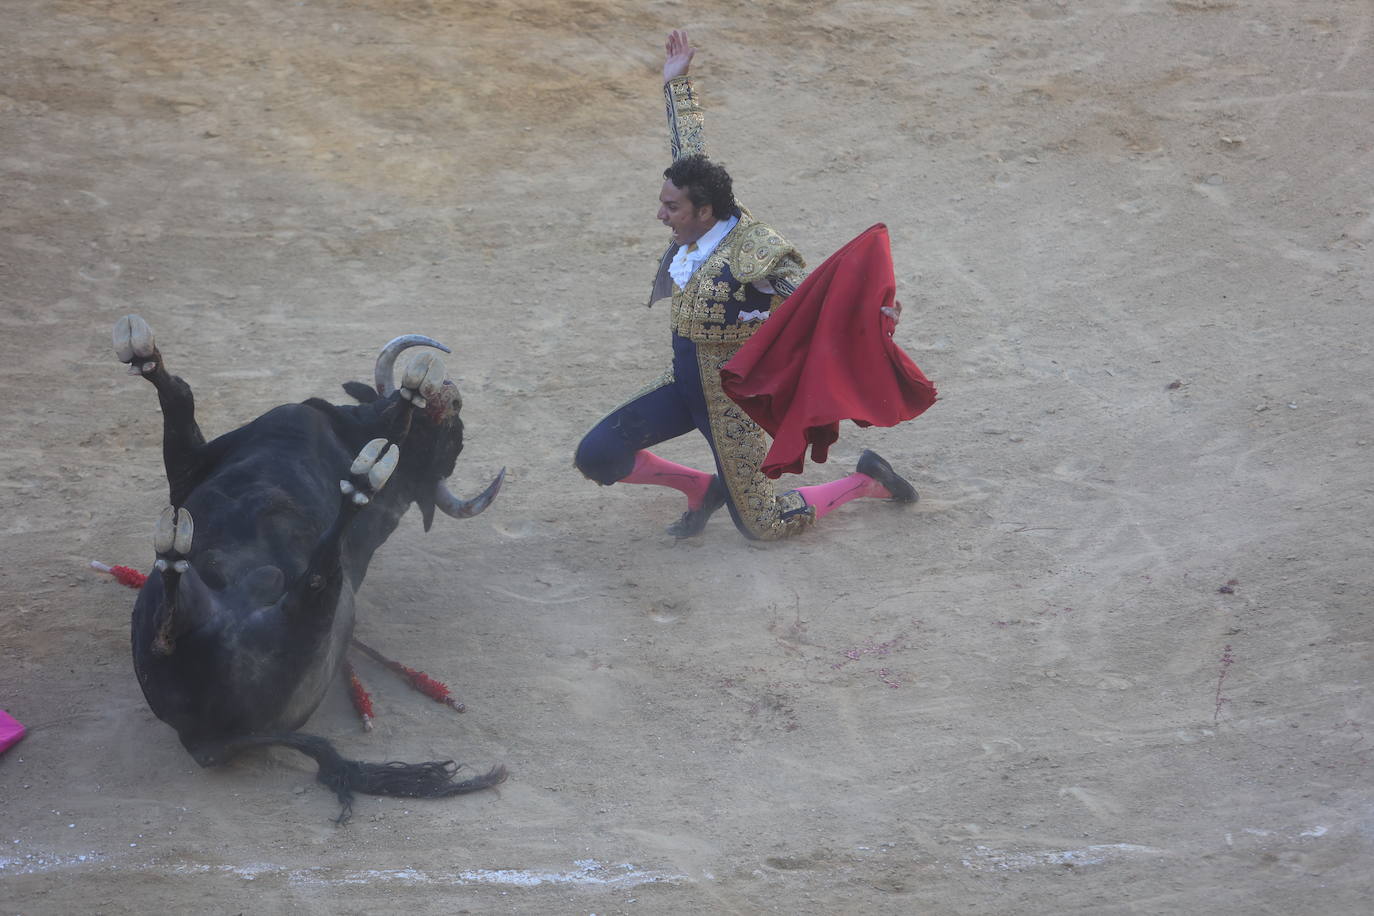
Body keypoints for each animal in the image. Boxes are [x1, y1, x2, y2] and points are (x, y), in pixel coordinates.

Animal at [114, 317, 511, 823]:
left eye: (450, 442)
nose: (453, 397)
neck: (345, 432)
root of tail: (205, 741)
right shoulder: (189, 470)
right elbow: (178, 402)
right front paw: (143, 355)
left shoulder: (192, 466)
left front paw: (406, 399)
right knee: (173, 613)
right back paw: (173, 553)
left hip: (321, 617)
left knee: (321, 574)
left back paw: (360, 483)